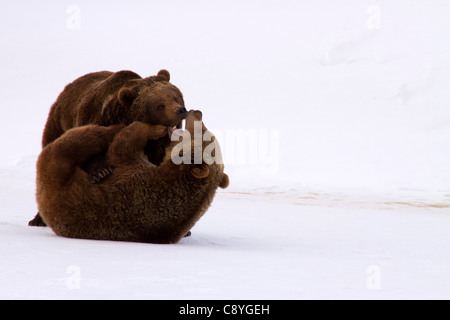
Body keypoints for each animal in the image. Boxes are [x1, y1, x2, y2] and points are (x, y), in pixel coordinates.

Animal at [29, 69, 186, 226]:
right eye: (159, 106)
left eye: (175, 97)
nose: (180, 110)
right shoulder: (97, 119)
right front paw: (102, 171)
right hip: (57, 123)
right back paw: (37, 220)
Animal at [34, 110, 229, 242]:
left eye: (202, 131)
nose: (197, 112)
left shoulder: (136, 178)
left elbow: (124, 145)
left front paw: (152, 127)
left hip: (56, 174)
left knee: (78, 139)